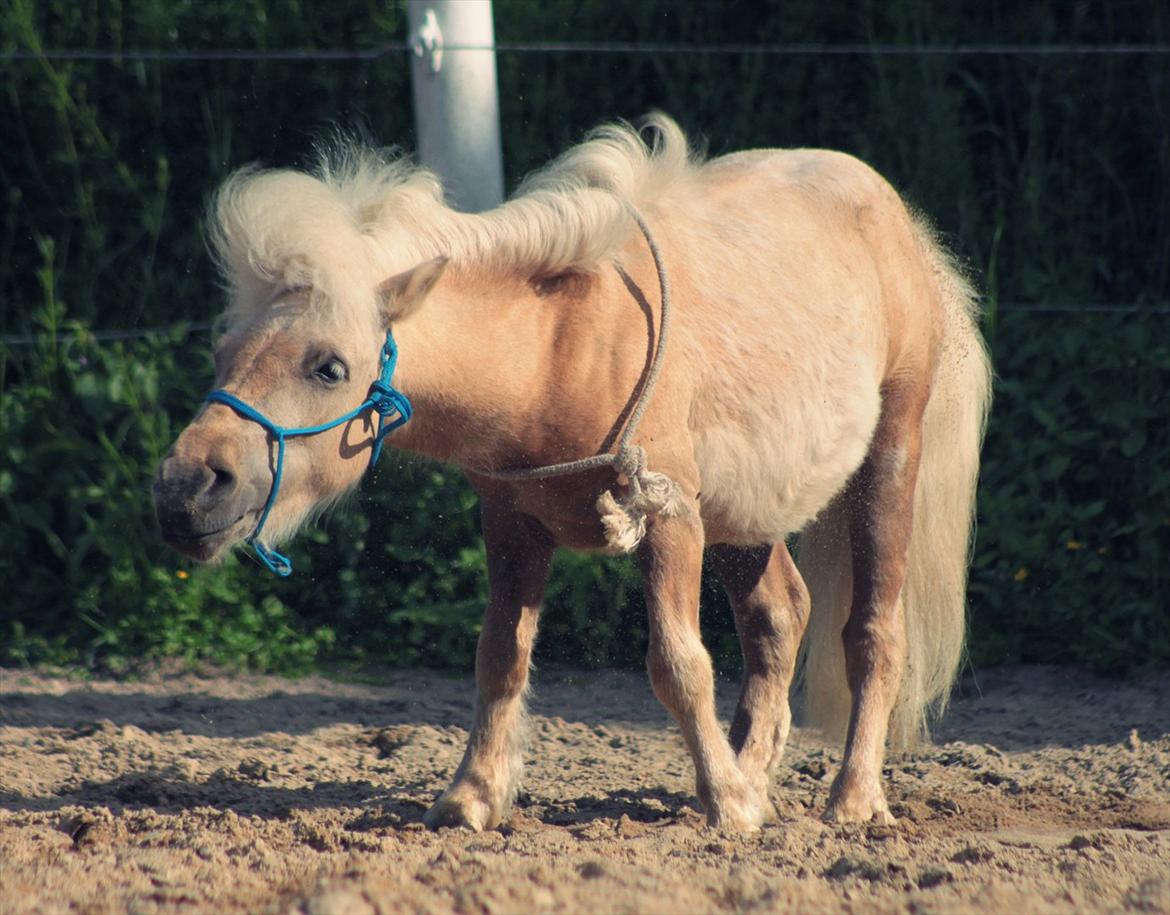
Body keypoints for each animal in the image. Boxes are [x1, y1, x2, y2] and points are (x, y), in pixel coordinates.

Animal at [155, 114, 992, 833]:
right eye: (224, 351)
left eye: (329, 366)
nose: (186, 486)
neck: (559, 344)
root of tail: (898, 220)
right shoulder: (514, 523)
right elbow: (500, 656)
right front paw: (471, 795)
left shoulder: (670, 517)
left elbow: (679, 663)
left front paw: (727, 806)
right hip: (744, 514)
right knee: (779, 616)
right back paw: (753, 776)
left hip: (891, 459)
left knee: (872, 632)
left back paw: (852, 798)